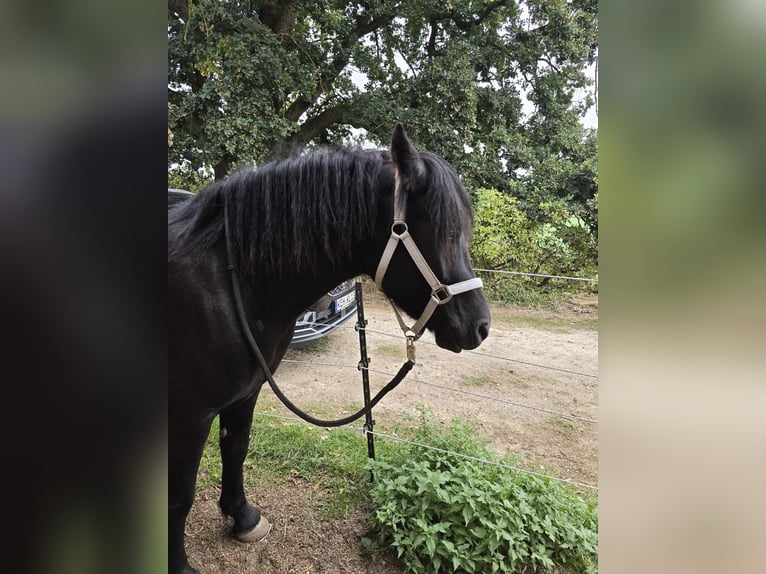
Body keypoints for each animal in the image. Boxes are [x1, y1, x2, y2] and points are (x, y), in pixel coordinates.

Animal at [168, 125, 491, 574]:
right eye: (444, 232)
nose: (481, 327)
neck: (230, 282)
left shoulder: (245, 394)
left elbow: (236, 451)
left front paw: (243, 518)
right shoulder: (190, 414)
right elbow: (181, 493)